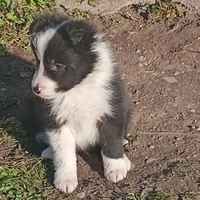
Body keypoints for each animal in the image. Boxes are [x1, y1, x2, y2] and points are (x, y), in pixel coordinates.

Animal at [21, 12, 131, 194]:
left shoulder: (112, 108)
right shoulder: (55, 120)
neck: (77, 90)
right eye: (38, 61)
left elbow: (111, 140)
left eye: (58, 65)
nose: (36, 89)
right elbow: (64, 152)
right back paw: (49, 152)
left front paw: (116, 168)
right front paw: (65, 180)